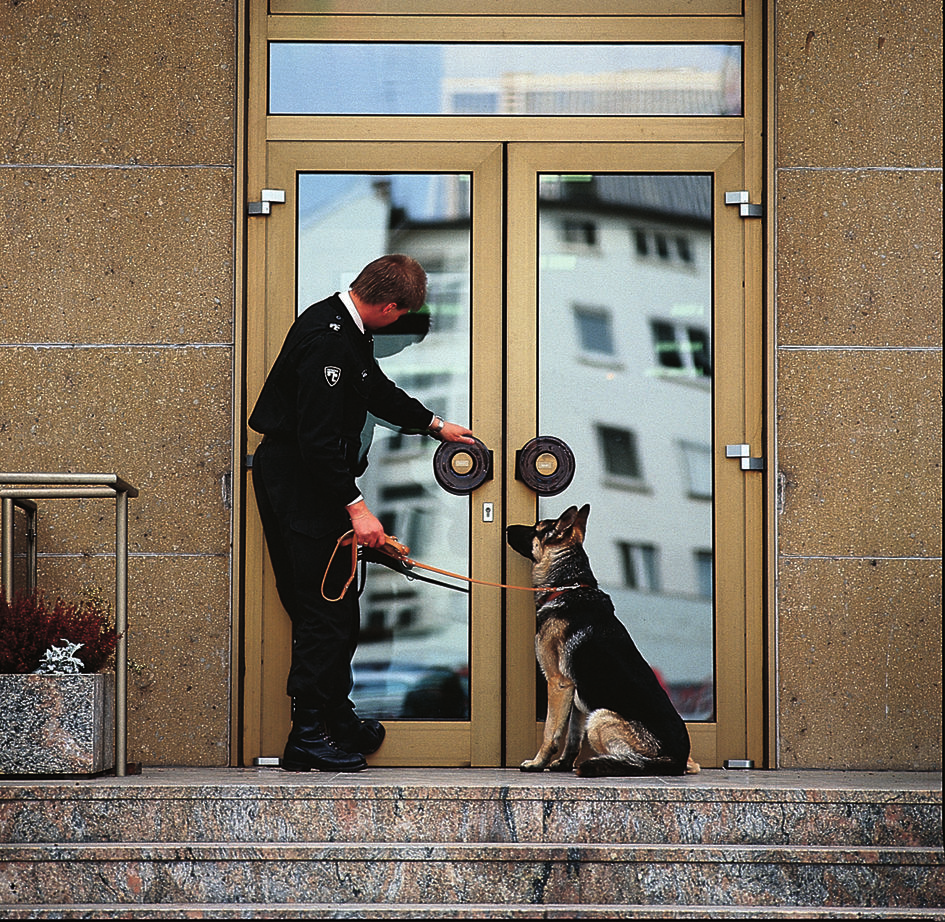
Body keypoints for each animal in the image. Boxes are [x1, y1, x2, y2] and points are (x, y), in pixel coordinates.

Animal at [506, 504, 696, 776]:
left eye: (537, 528)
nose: (507, 528)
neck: (568, 585)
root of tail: (676, 761)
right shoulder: (575, 693)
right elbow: (572, 737)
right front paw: (564, 763)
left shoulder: (558, 684)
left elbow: (551, 731)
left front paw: (537, 763)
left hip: (600, 717)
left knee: (637, 763)